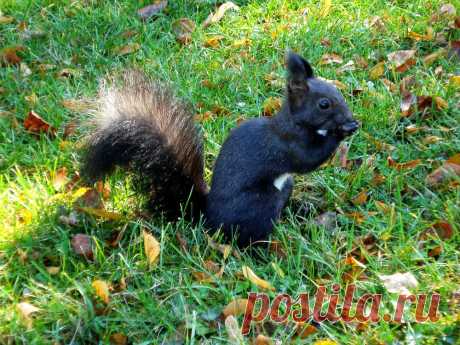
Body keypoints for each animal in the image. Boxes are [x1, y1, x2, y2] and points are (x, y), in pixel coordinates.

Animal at [82, 52, 360, 246]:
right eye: (324, 104)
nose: (348, 117)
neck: (293, 123)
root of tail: (208, 217)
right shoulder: (286, 145)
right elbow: (308, 159)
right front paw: (343, 131)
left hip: (284, 187)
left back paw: (301, 210)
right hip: (260, 202)